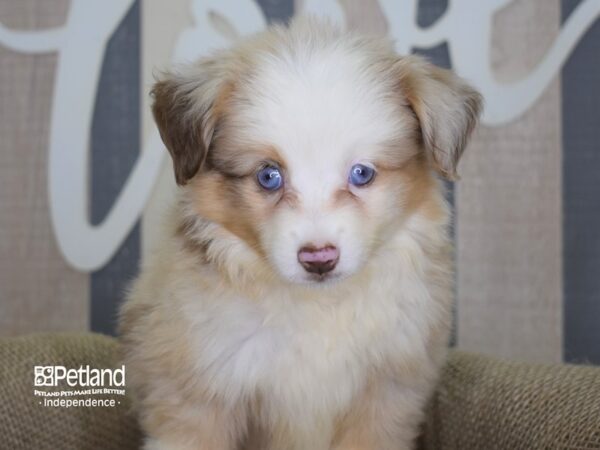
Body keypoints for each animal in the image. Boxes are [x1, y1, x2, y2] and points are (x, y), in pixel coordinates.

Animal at [119, 15, 480, 450]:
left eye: (362, 173)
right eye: (268, 176)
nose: (319, 259)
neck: (317, 310)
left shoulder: (385, 395)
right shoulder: (196, 393)